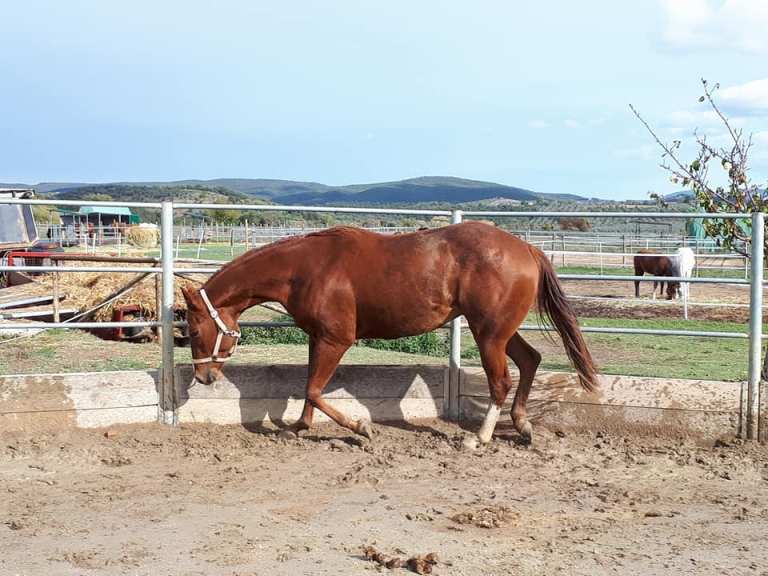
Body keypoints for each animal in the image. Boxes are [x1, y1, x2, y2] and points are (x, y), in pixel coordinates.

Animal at [181, 222, 598, 446]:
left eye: (194, 327)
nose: (203, 376)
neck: (305, 269)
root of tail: (527, 249)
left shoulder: (336, 339)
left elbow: (314, 390)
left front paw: (361, 427)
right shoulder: (319, 338)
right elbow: (309, 388)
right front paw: (298, 428)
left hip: (490, 334)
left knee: (501, 381)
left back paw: (478, 438)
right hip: (499, 331)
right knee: (530, 360)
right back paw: (523, 426)